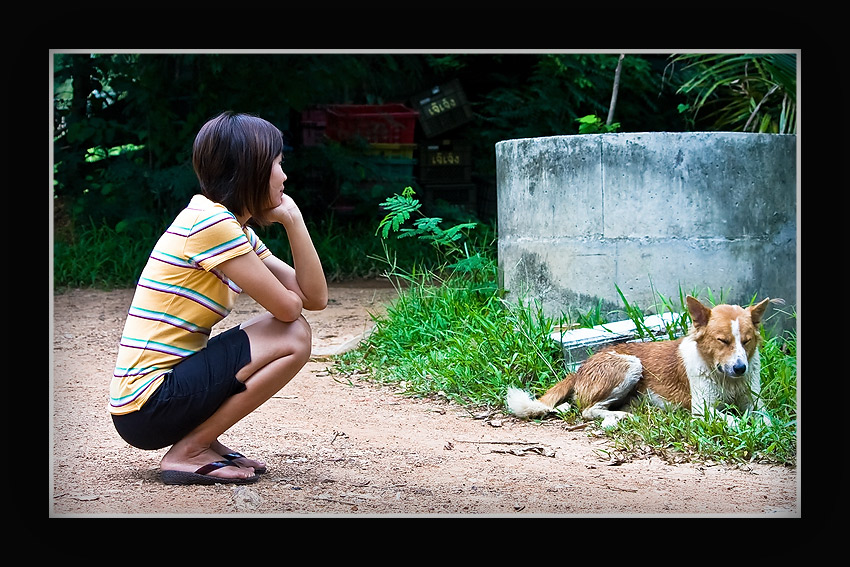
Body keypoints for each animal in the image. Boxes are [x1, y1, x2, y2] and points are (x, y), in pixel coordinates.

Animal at [506, 298, 772, 426]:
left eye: (746, 341)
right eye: (722, 340)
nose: (740, 368)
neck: (725, 378)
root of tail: (580, 368)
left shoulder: (754, 403)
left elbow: (767, 419)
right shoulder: (702, 410)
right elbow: (732, 419)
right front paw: (742, 425)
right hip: (632, 365)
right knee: (587, 411)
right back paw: (623, 417)